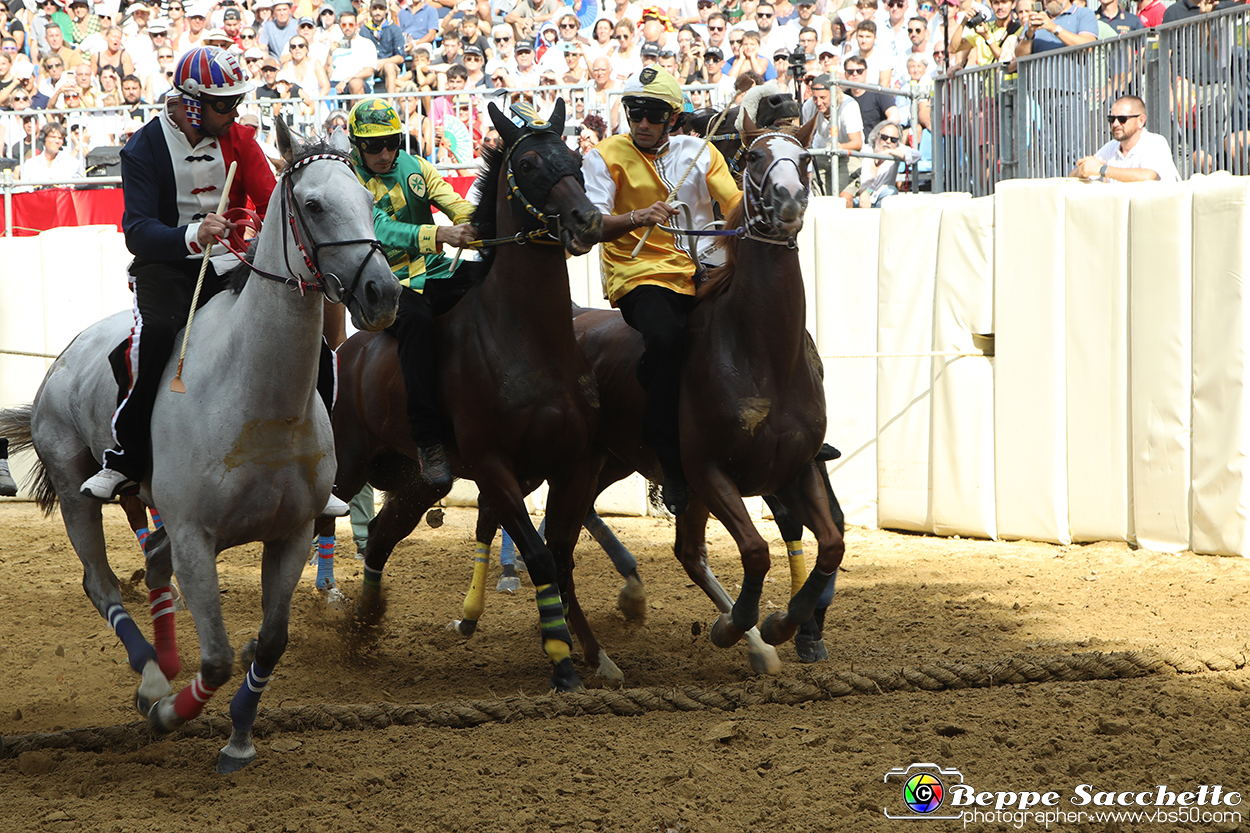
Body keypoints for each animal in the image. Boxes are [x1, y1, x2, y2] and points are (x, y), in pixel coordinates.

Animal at [0, 121, 397, 770]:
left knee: (152, 567)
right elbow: (217, 657)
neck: (258, 399)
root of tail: (65, 356)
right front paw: (170, 713)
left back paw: (163, 666)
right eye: (313, 204)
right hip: (75, 489)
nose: (382, 292)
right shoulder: (195, 537)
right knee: (100, 583)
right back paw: (153, 679)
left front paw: (238, 735)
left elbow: (271, 641)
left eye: (368, 199)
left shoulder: (289, 535)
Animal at [317, 100, 605, 690]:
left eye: (574, 157)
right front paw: (561, 659)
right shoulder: (494, 467)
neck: (525, 339)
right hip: (348, 464)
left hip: (417, 480)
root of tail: (346, 353)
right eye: (531, 163)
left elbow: (563, 556)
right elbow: (540, 556)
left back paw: (365, 623)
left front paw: (594, 653)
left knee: (381, 536)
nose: (587, 220)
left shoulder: (575, 463)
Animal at [555, 116, 840, 670]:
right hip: (584, 468)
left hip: (612, 462)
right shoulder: (707, 472)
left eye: (805, 159)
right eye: (753, 156)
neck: (761, 356)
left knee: (676, 551)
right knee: (554, 545)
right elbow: (756, 551)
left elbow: (831, 545)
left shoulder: (796, 468)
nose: (789, 196)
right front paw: (738, 625)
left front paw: (780, 626)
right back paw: (597, 658)